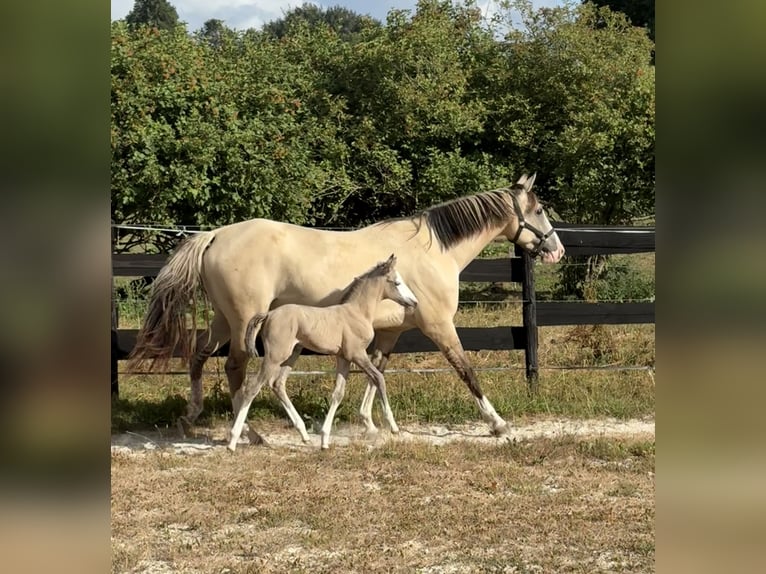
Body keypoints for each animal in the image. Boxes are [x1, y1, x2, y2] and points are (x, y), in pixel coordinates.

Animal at [227, 254, 419, 451]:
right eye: (397, 282)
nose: (414, 302)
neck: (357, 313)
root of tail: (269, 314)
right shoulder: (357, 354)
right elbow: (378, 378)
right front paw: (394, 427)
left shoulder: (343, 357)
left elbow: (338, 393)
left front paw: (325, 440)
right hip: (275, 356)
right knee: (253, 387)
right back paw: (233, 441)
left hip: (292, 354)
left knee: (277, 384)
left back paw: (304, 435)